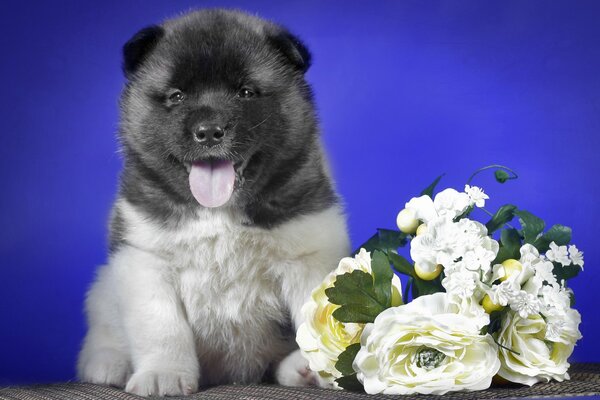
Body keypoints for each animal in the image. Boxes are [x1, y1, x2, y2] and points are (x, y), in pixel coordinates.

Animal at [78, 7, 352, 396]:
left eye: (246, 92)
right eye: (177, 96)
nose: (208, 132)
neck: (218, 212)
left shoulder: (308, 257)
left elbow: (314, 323)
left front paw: (322, 368)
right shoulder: (146, 260)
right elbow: (162, 328)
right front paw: (163, 373)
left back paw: (299, 370)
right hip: (103, 289)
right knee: (105, 332)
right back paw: (106, 364)